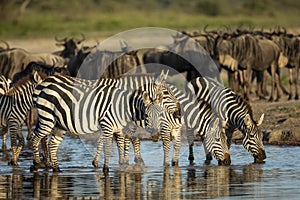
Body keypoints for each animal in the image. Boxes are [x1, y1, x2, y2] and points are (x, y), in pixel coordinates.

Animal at [30, 72, 180, 173]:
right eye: (166, 93)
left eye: (160, 114)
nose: (179, 112)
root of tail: (42, 83)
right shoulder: (110, 124)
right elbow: (122, 143)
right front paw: (117, 165)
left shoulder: (118, 127)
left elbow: (119, 143)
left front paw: (121, 163)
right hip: (47, 118)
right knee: (35, 137)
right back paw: (38, 163)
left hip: (59, 123)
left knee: (50, 142)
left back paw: (54, 167)